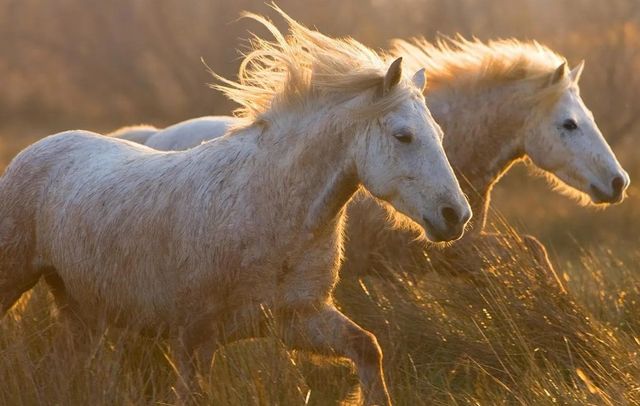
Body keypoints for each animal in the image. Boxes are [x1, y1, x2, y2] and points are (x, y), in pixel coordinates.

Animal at [0, 8, 471, 405]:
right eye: (403, 135)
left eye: (439, 134)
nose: (455, 216)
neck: (267, 210)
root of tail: (37, 149)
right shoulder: (194, 338)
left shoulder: (299, 318)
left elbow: (368, 349)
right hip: (18, 282)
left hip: (80, 311)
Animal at [113, 36, 630, 277]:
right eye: (569, 124)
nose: (618, 183)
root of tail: (151, 139)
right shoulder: (426, 256)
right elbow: (529, 250)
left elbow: (532, 249)